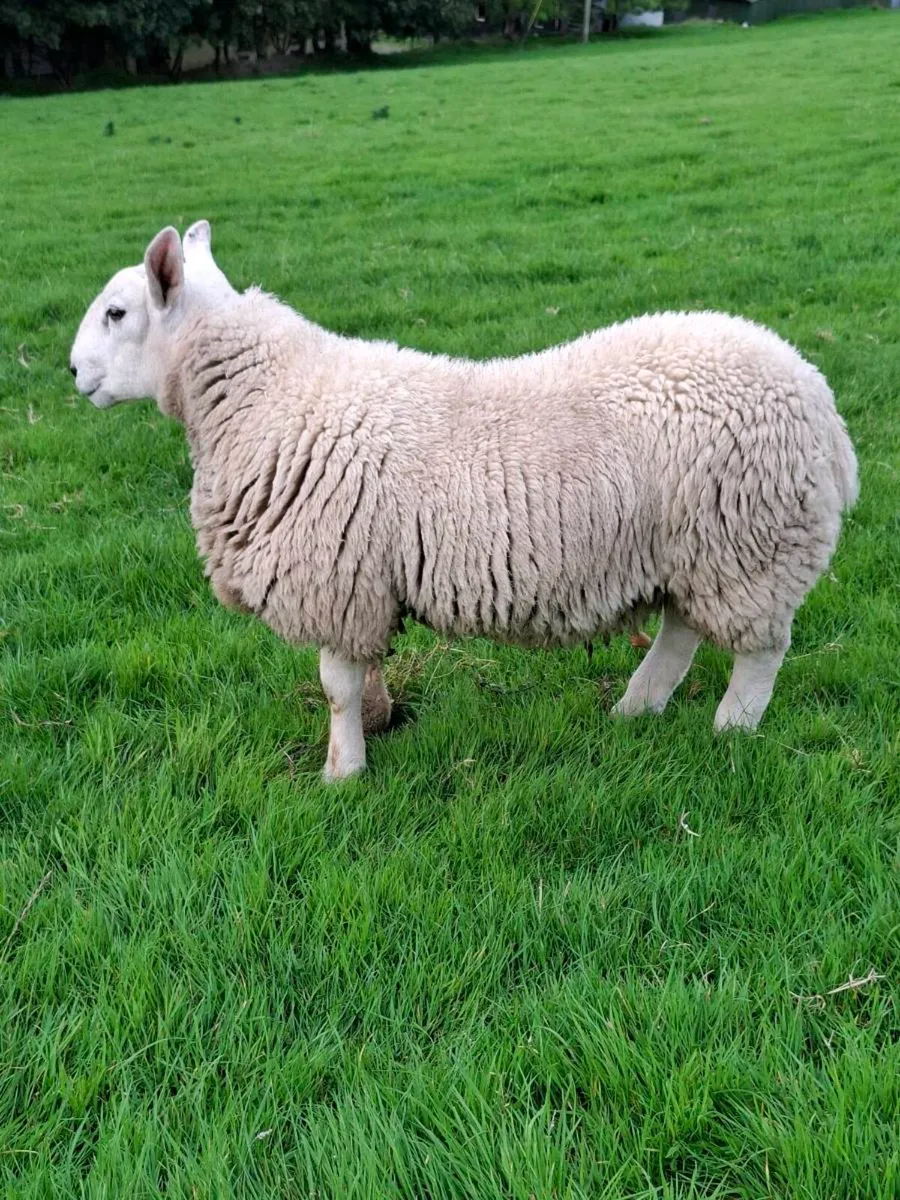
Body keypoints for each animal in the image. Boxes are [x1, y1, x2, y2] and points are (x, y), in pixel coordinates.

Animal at [70, 222, 858, 780]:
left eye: (117, 312)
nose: (73, 371)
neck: (266, 394)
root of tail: (821, 404)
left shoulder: (337, 576)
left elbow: (334, 687)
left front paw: (342, 772)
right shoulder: (365, 578)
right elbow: (361, 678)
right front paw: (378, 725)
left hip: (748, 543)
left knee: (760, 651)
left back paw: (732, 729)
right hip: (697, 547)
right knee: (683, 630)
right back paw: (635, 710)